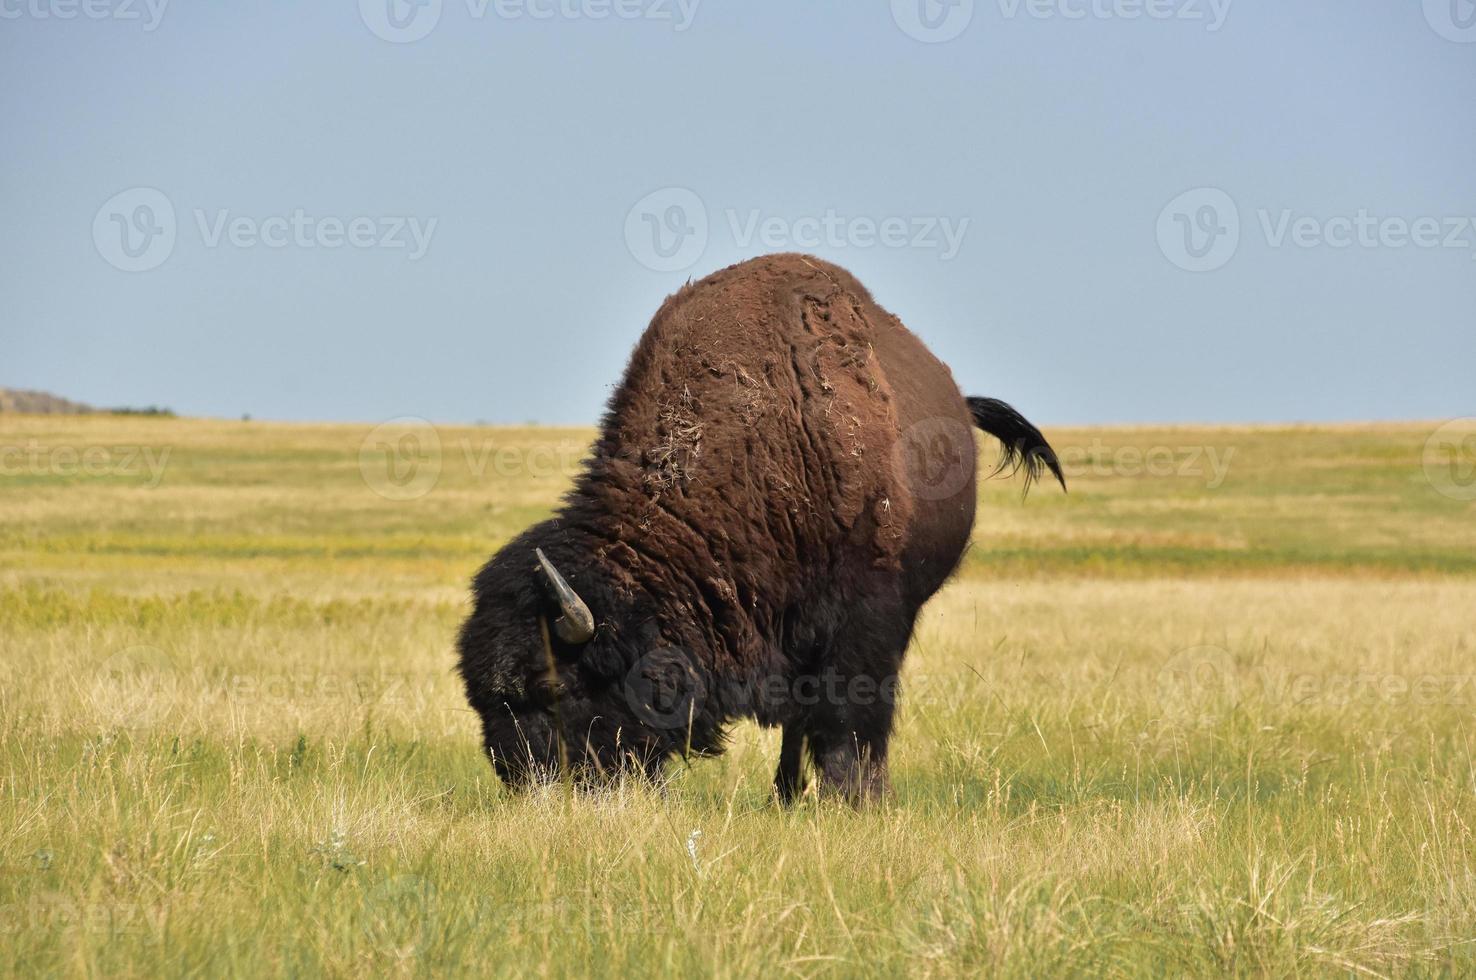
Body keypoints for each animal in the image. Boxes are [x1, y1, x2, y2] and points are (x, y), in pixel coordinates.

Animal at [457, 253, 1062, 802]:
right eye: (480, 695)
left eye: (555, 688)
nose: (525, 783)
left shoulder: (868, 616)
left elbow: (852, 714)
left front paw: (858, 800)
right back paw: (785, 793)